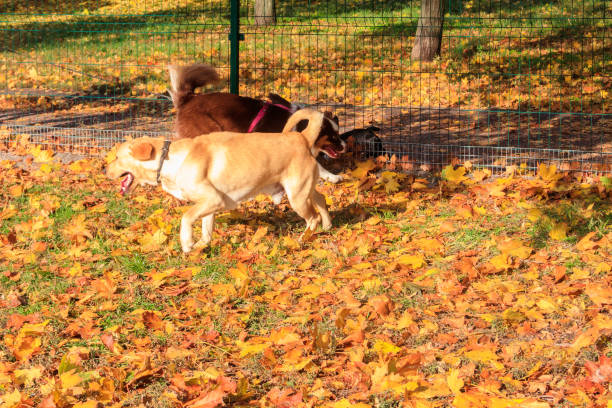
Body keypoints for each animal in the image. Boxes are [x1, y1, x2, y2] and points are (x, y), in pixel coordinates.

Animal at [106, 108, 344, 252]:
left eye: (117, 157)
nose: (103, 169)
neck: (169, 158)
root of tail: (301, 137)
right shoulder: (209, 206)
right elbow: (206, 230)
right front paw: (200, 247)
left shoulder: (212, 200)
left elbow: (186, 218)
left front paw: (187, 243)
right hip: (303, 190)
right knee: (321, 201)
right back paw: (327, 226)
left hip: (297, 197)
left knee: (312, 217)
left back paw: (302, 240)